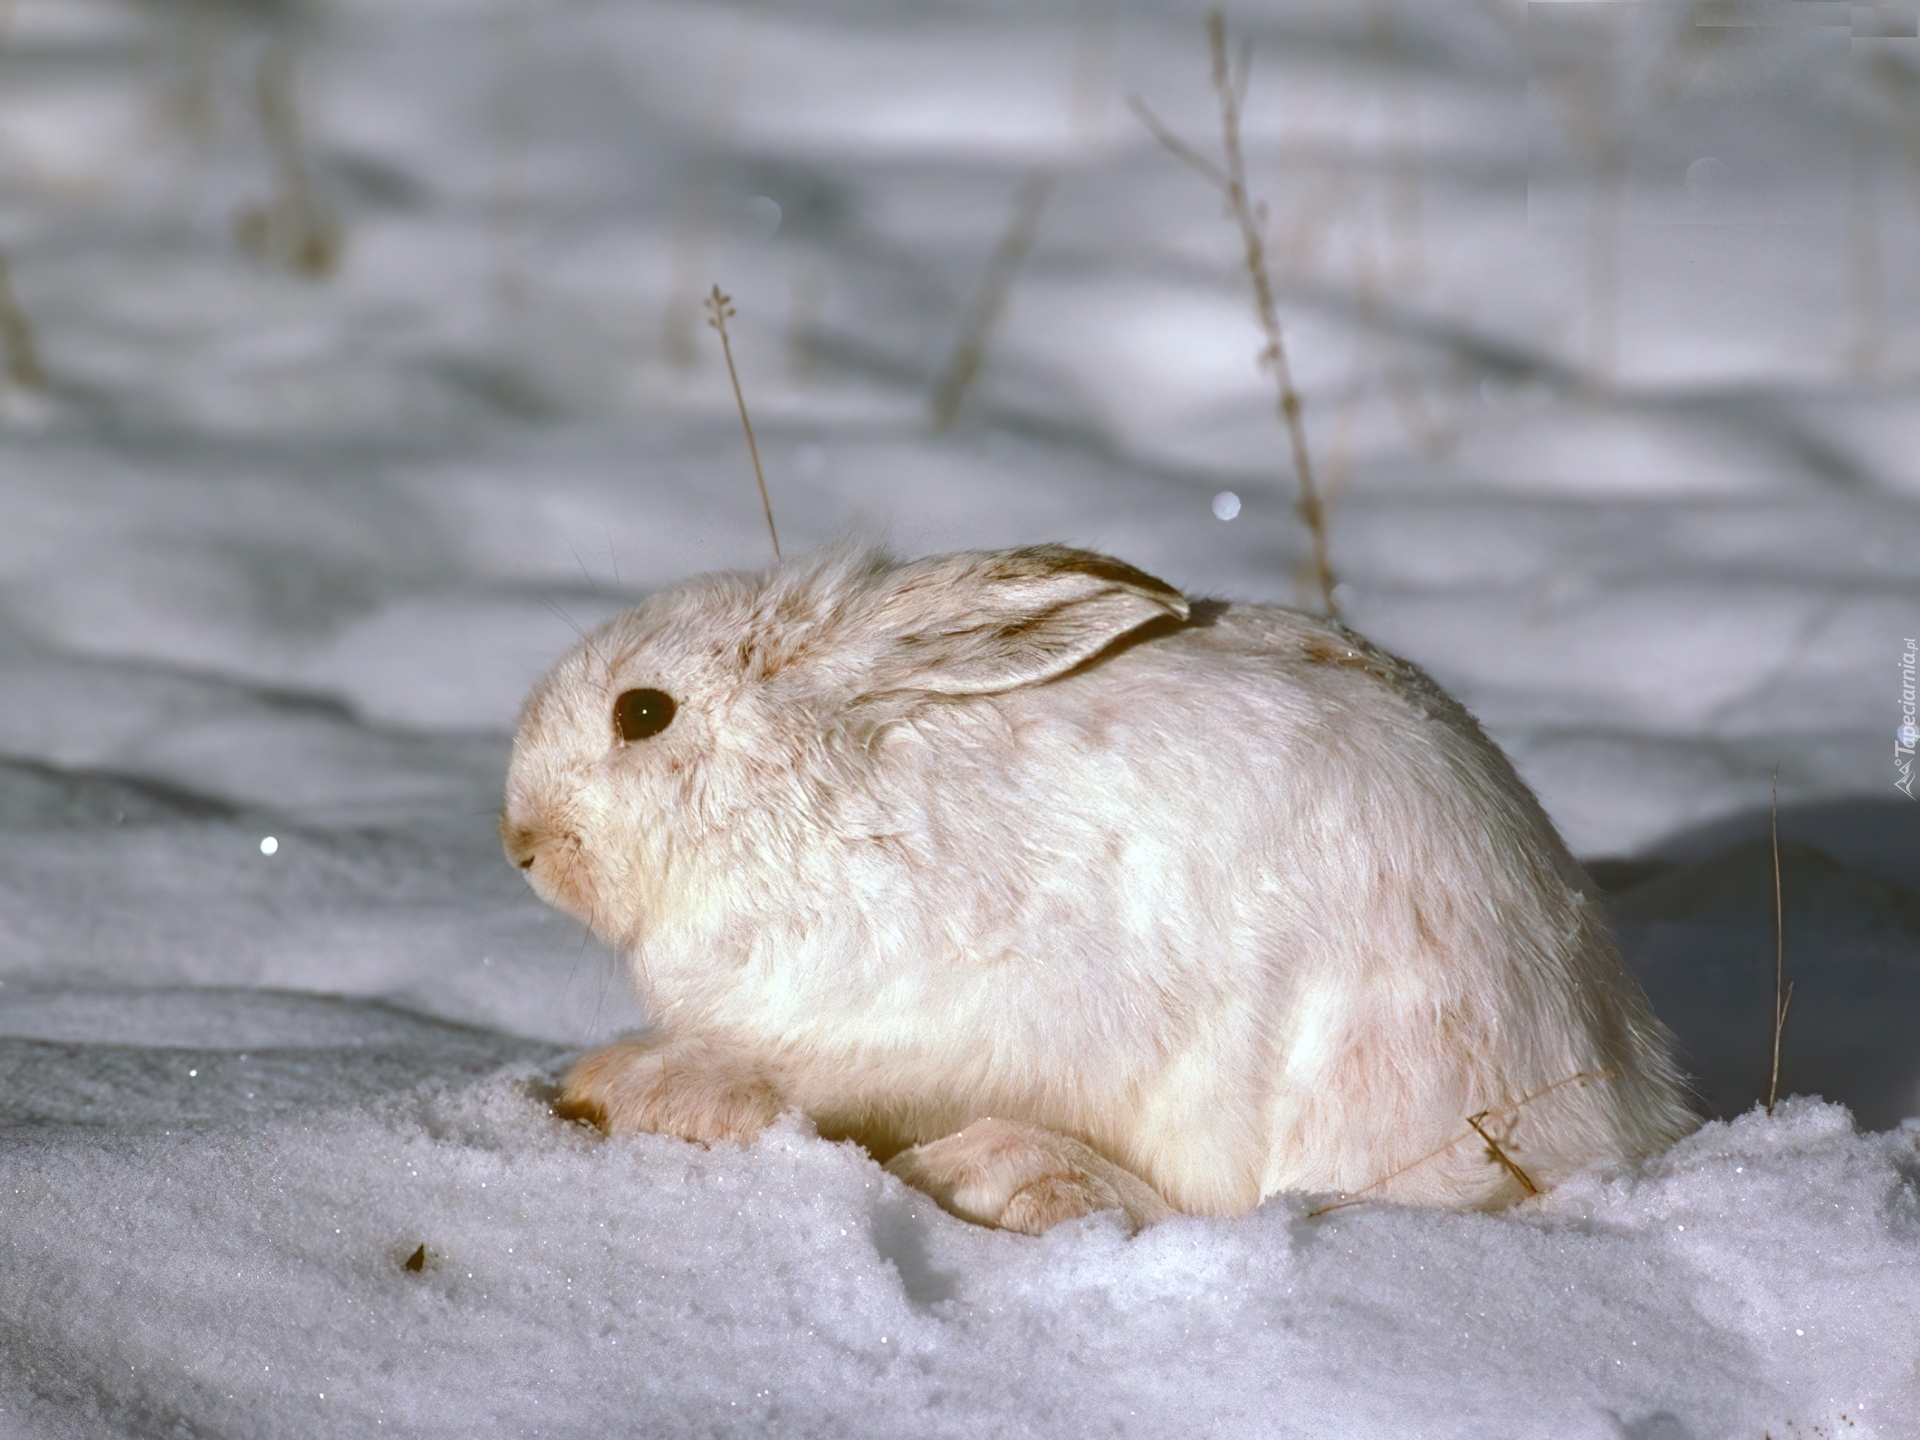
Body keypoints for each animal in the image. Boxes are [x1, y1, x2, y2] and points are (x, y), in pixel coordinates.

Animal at [506, 545, 1697, 1236]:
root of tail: (1617, 1119)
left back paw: (999, 1176)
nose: (518, 841)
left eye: (644, 713)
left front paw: (633, 1087)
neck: (818, 788)